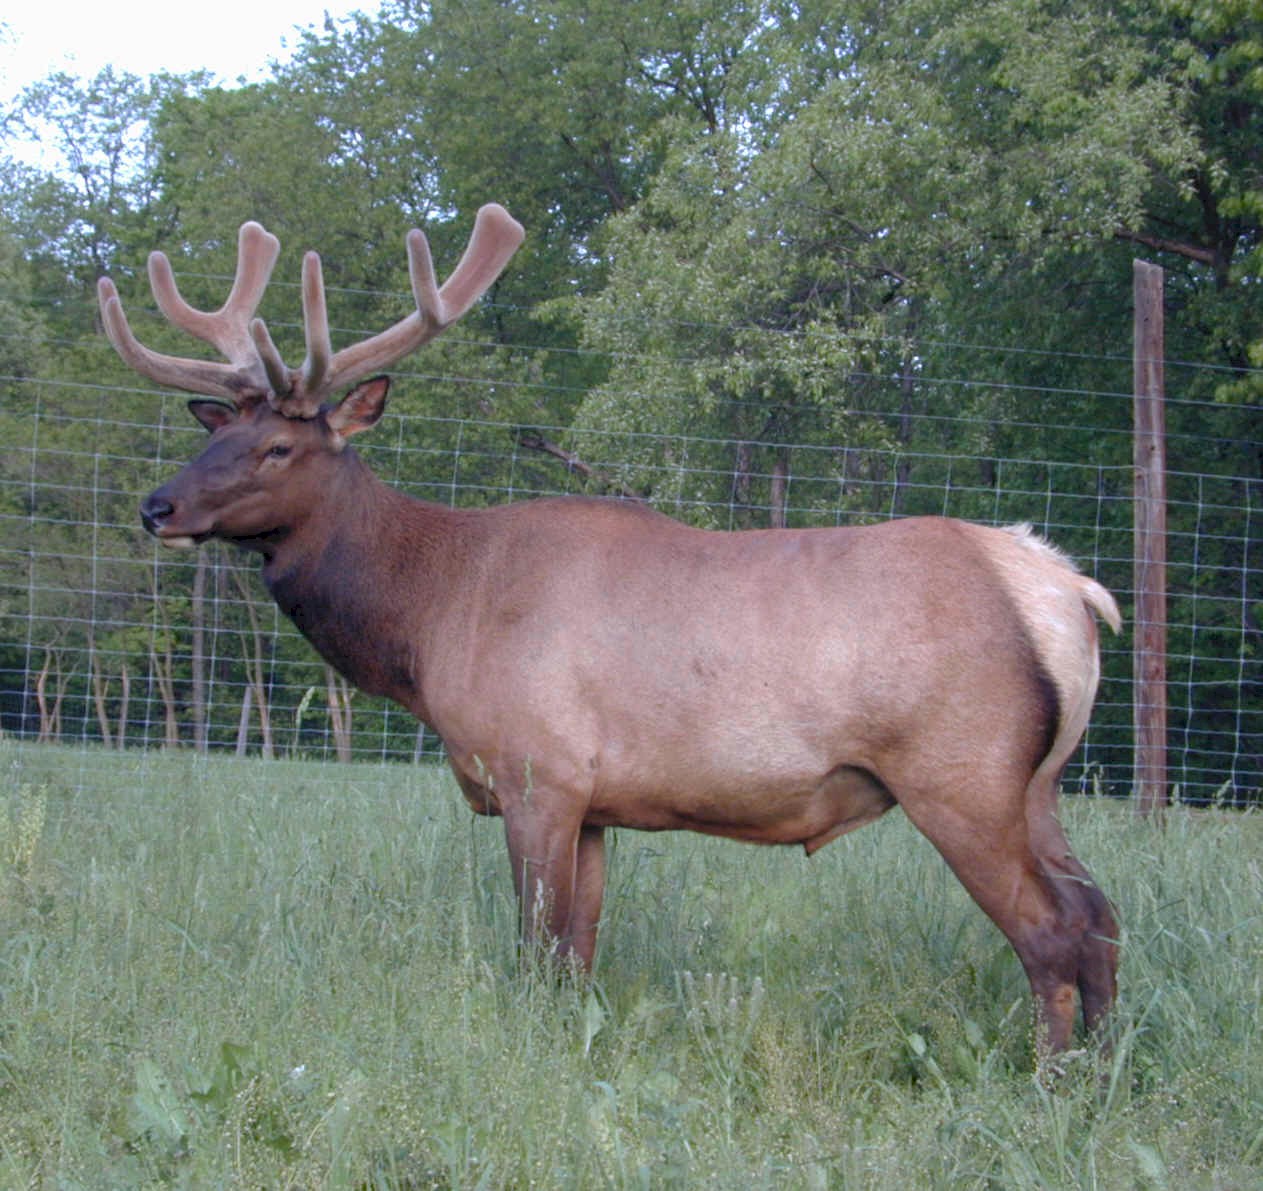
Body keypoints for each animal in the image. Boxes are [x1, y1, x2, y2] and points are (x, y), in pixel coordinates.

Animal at [98, 203, 1121, 1057]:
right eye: (212, 432)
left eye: (278, 447)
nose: (157, 506)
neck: (431, 621)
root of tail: (1063, 588)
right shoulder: (593, 801)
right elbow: (578, 952)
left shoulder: (537, 769)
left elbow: (537, 946)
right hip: (1035, 782)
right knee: (1099, 914)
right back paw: (1105, 1069)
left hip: (959, 771)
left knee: (1051, 930)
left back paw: (1049, 1081)